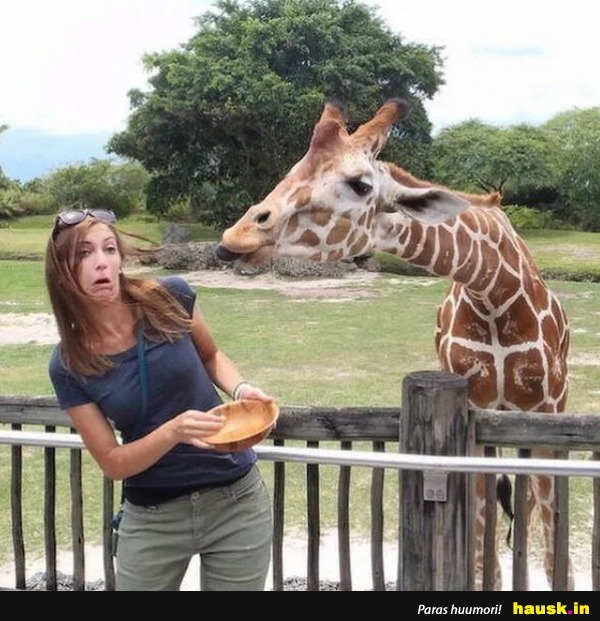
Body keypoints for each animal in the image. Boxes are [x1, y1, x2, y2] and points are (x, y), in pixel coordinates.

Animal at [215, 98, 572, 590]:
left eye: (360, 184)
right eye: (294, 167)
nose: (237, 237)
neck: (493, 293)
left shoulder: (546, 411)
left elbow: (555, 545)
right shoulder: (476, 411)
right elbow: (482, 550)